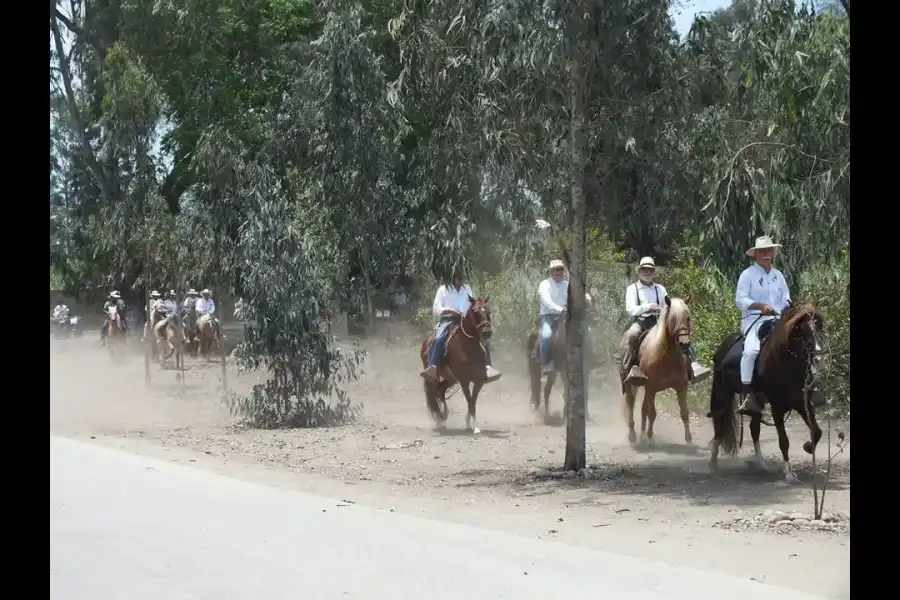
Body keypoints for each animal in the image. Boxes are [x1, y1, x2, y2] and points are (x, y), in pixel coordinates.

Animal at [420, 296, 492, 434]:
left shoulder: (478, 380)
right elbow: (470, 401)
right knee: (432, 393)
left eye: (489, 311)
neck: (468, 347)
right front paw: (475, 428)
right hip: (434, 376)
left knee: (440, 390)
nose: (487, 332)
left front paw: (470, 423)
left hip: (451, 377)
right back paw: (439, 421)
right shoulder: (464, 380)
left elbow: (472, 401)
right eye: (475, 312)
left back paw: (443, 415)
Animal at [620, 296, 696, 446]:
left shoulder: (681, 387)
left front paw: (689, 439)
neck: (666, 356)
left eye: (688, 318)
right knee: (631, 404)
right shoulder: (651, 388)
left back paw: (642, 435)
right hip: (632, 384)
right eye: (673, 318)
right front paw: (650, 438)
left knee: (642, 409)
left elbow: (684, 412)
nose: (684, 344)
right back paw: (633, 435)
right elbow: (652, 414)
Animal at [708, 300, 828, 482]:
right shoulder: (777, 407)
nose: (818, 358)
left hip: (756, 404)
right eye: (802, 330)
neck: (786, 363)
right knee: (720, 425)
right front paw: (789, 473)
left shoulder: (803, 403)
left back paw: (761, 464)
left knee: (754, 429)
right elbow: (784, 441)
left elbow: (817, 431)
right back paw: (713, 461)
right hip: (723, 394)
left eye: (819, 326)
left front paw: (808, 447)